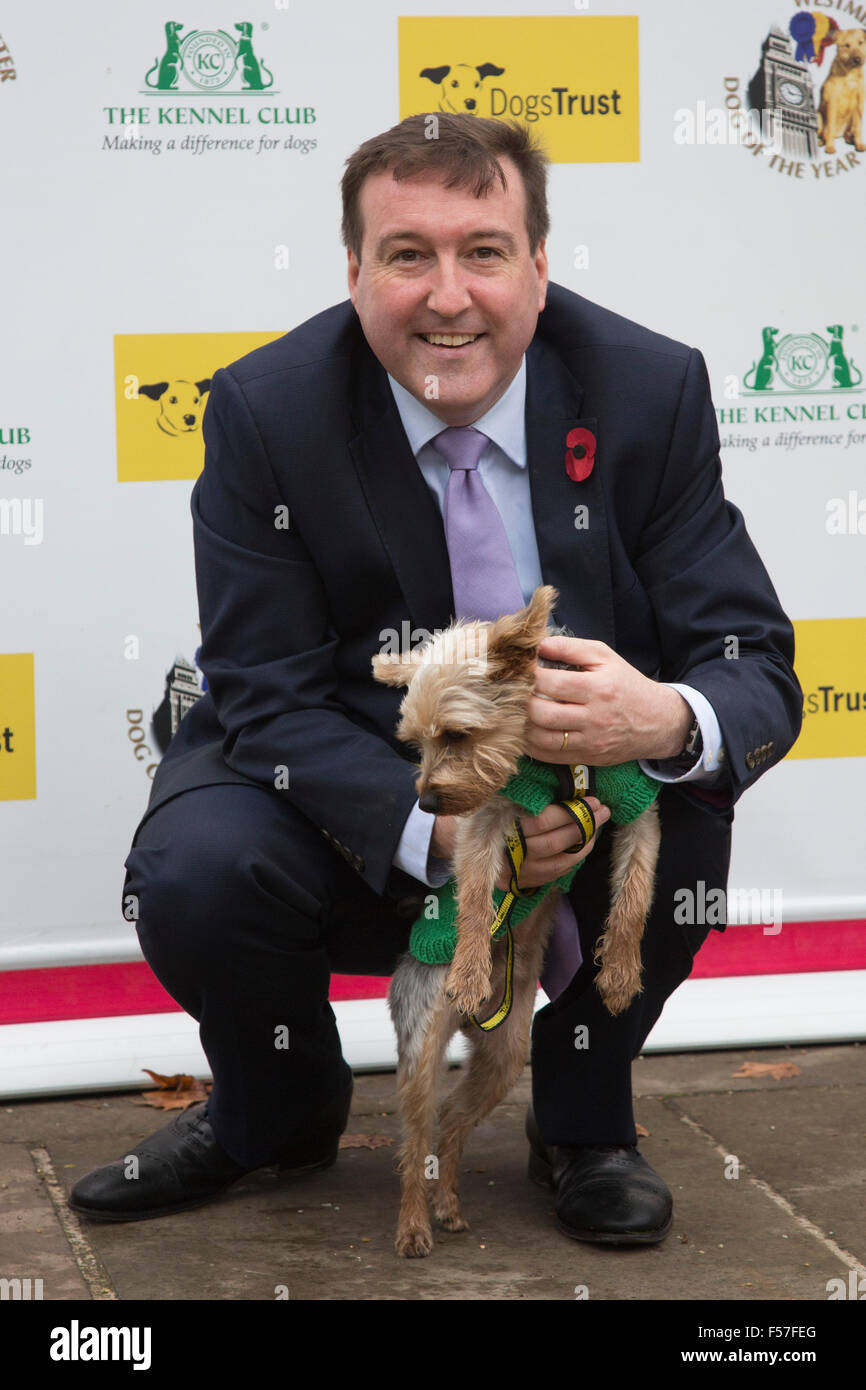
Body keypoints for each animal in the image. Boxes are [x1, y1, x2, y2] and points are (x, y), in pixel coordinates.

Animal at [369, 581, 661, 1256]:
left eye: (456, 735)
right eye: (416, 743)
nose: (426, 801)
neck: (551, 762)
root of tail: (471, 1022)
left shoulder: (635, 806)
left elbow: (634, 894)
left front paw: (620, 973)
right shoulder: (486, 821)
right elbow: (477, 898)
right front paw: (470, 968)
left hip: (504, 1055)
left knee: (452, 1122)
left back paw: (448, 1205)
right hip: (421, 1045)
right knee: (415, 1138)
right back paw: (413, 1225)